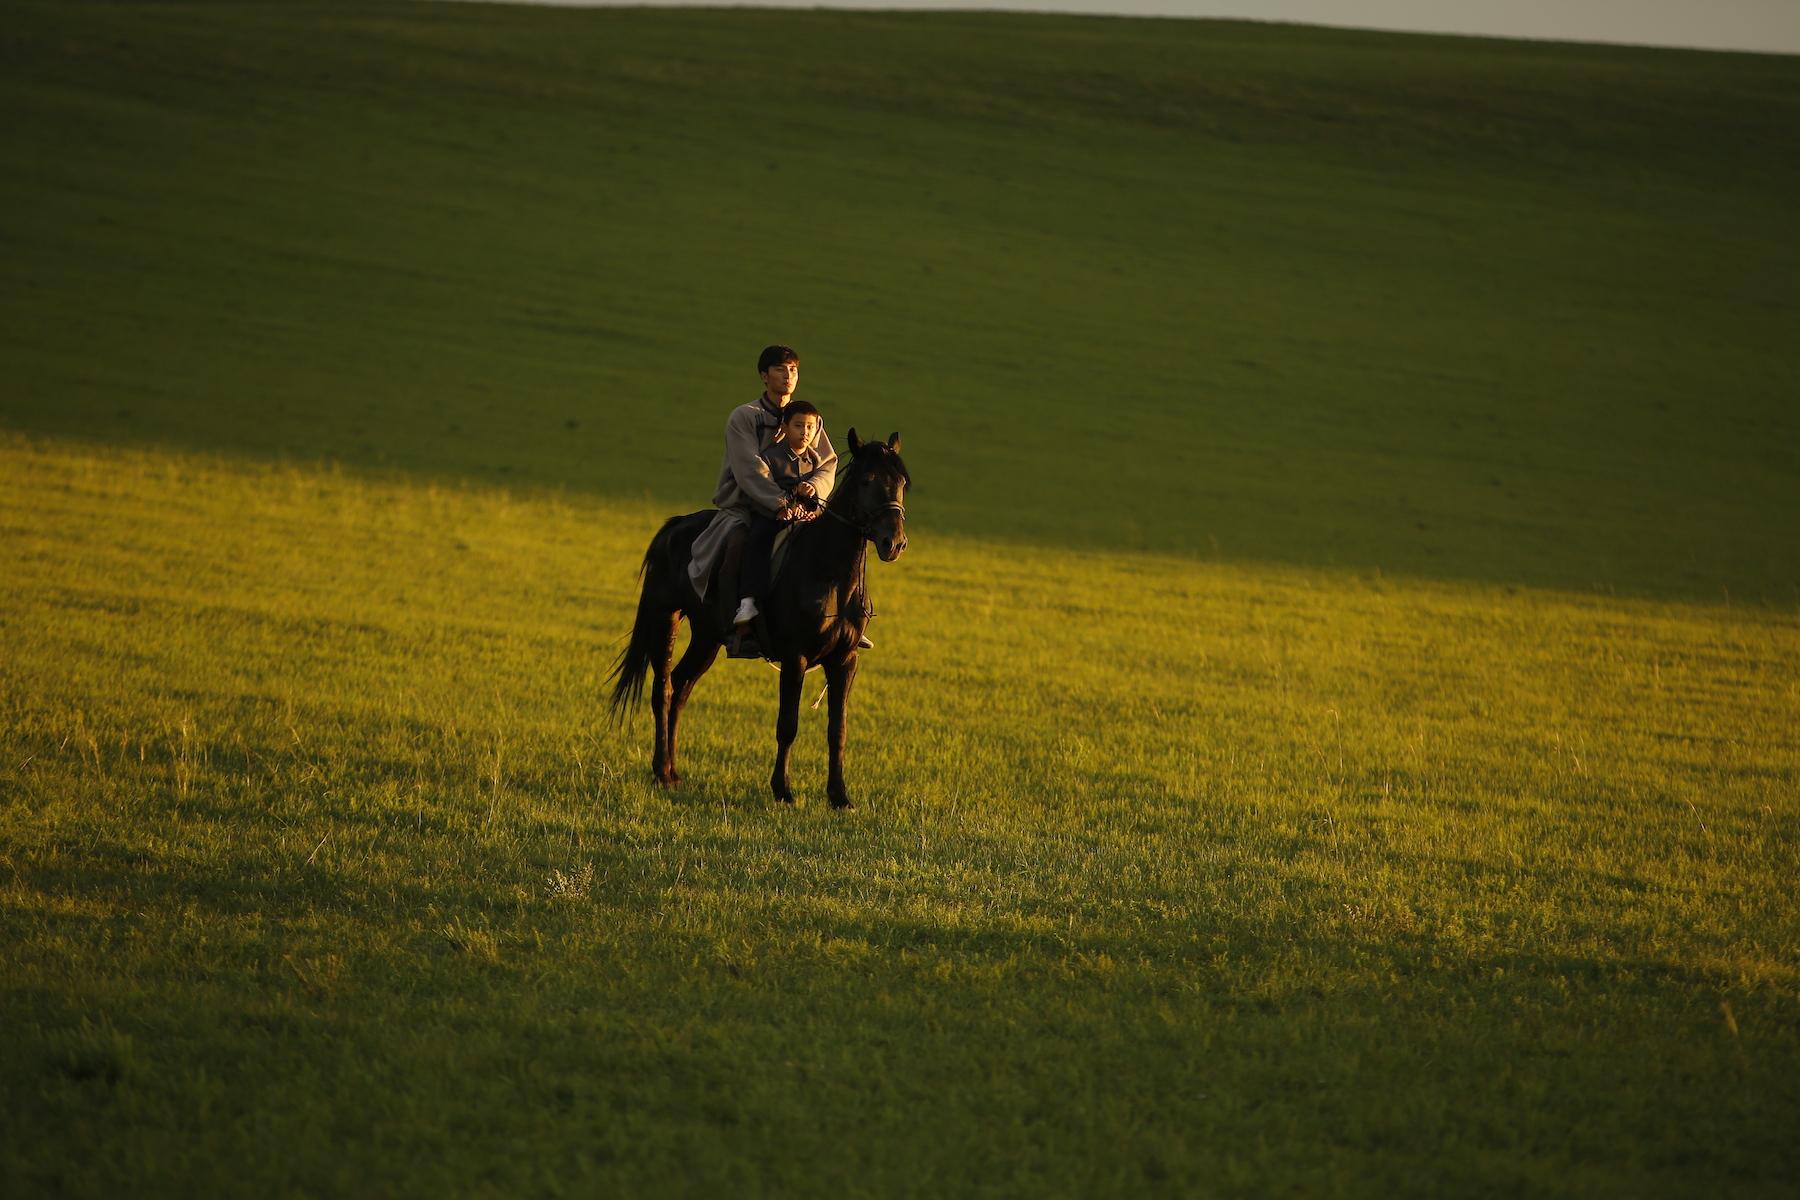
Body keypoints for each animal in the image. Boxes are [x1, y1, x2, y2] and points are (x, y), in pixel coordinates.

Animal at [608, 426, 914, 813]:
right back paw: (661, 771)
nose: (894, 543)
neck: (828, 571)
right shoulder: (796, 657)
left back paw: (674, 773)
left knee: (680, 687)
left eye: (901, 482)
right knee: (662, 689)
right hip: (666, 618)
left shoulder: (845, 659)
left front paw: (839, 795)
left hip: (707, 636)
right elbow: (788, 725)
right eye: (867, 480)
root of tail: (674, 527)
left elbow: (838, 729)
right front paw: (782, 790)